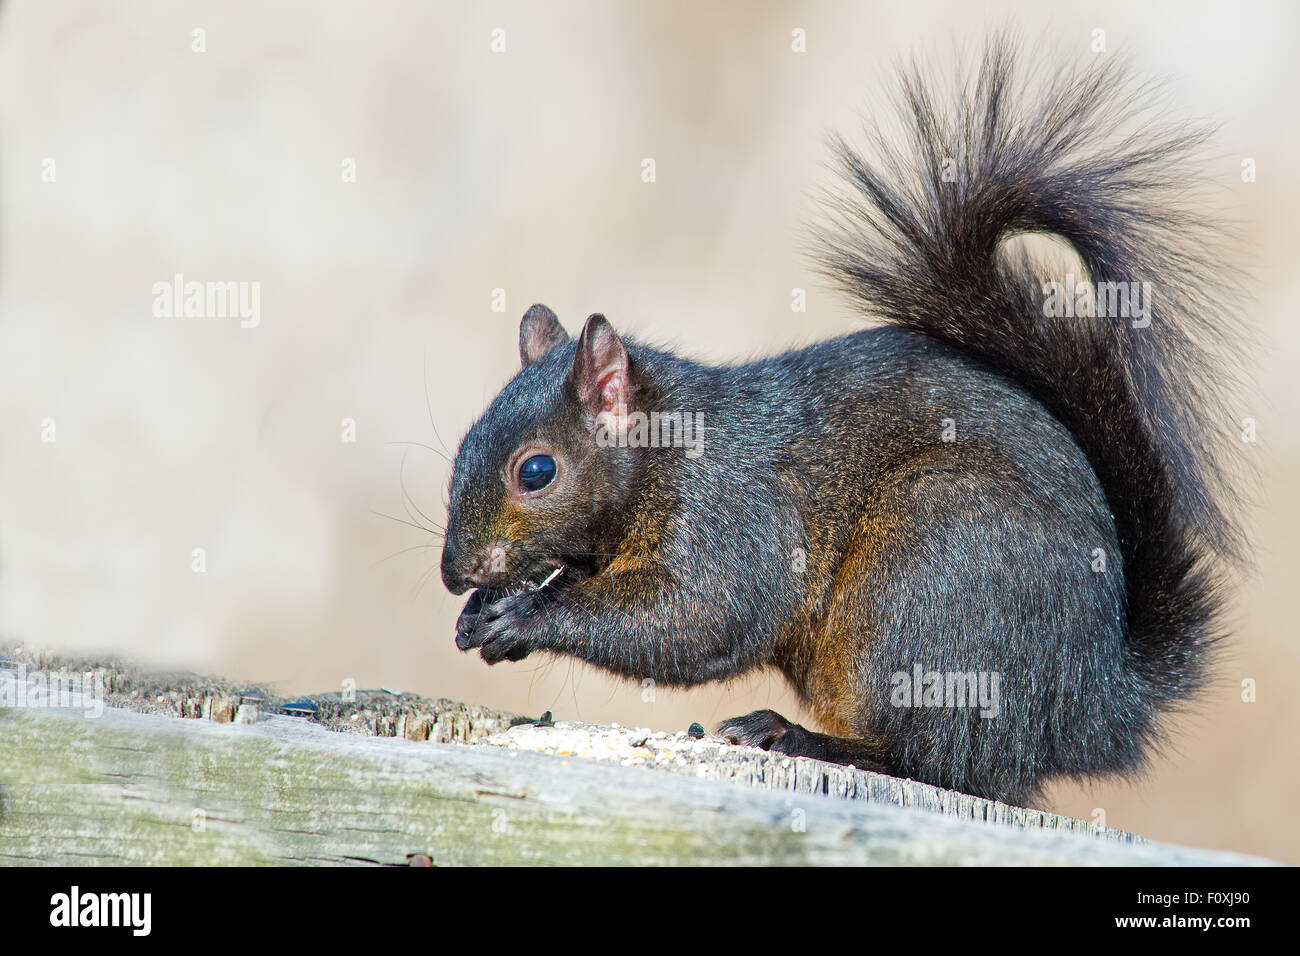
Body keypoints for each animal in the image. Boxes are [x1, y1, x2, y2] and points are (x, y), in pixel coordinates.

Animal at [436, 42, 1248, 806]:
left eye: (537, 471)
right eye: (461, 449)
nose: (454, 573)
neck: (667, 451)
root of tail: (1095, 703)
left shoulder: (732, 513)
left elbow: (701, 615)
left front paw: (528, 617)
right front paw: (483, 614)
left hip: (934, 574)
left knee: (944, 761)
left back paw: (799, 737)